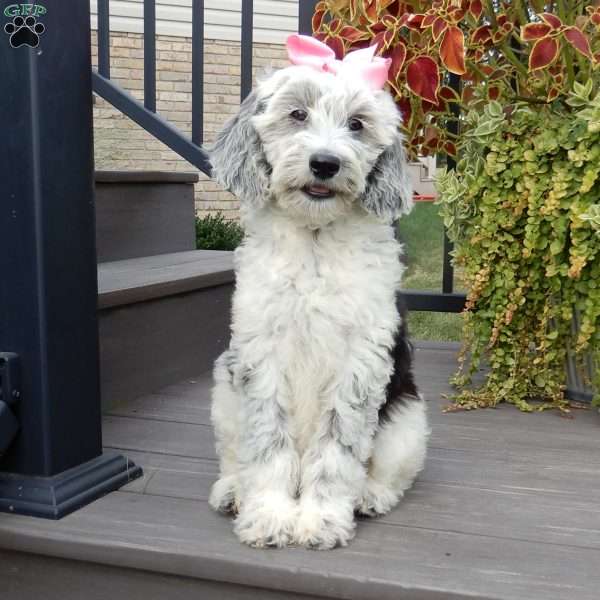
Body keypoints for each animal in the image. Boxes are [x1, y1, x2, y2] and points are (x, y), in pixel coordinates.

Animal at [209, 32, 428, 548]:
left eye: (357, 124)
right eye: (297, 114)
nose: (325, 164)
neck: (314, 241)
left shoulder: (359, 360)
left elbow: (336, 448)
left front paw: (321, 519)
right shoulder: (261, 353)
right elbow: (268, 442)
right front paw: (269, 515)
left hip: (408, 419)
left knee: (392, 472)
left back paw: (369, 495)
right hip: (223, 392)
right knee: (233, 455)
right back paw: (232, 491)